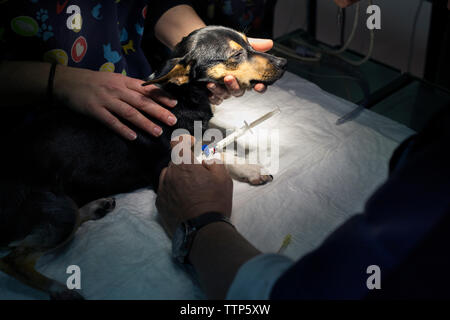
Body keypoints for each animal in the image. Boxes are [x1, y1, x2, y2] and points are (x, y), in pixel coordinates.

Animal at [0, 26, 286, 298]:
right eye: (236, 55)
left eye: (249, 43)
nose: (283, 62)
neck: (181, 95)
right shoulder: (168, 165)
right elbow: (215, 153)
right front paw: (250, 168)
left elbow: (212, 144)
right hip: (56, 211)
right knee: (13, 260)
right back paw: (60, 289)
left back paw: (95, 208)